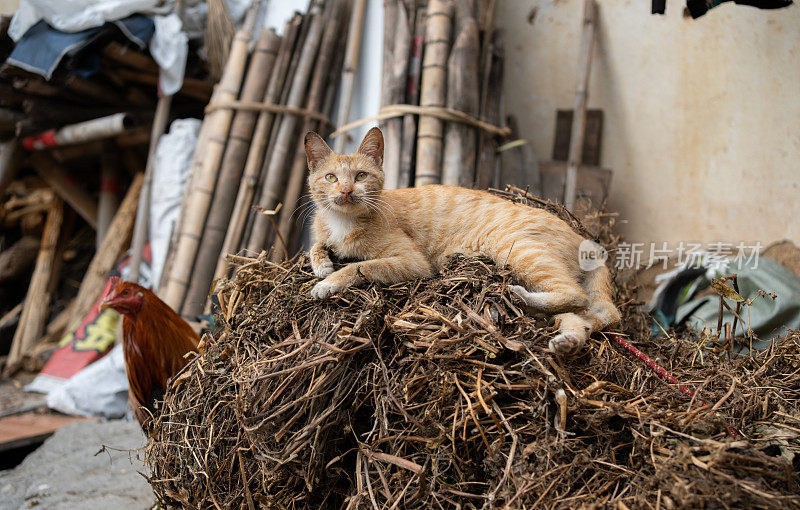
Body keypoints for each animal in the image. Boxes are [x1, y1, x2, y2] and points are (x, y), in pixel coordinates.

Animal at [304, 127, 620, 354]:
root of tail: (585, 240)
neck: (343, 221)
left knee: (575, 295)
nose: (346, 191)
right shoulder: (323, 234)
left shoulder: (412, 262)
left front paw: (328, 283)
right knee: (585, 315)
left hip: (516, 249)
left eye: (360, 176)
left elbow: (359, 266)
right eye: (331, 178)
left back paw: (522, 296)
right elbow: (315, 245)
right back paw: (568, 341)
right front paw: (322, 264)